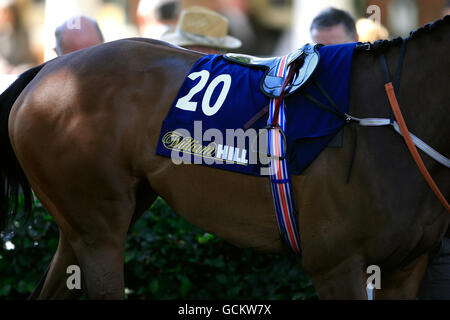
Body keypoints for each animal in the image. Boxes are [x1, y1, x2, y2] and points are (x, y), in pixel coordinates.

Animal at [0, 16, 448, 298]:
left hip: (86, 226)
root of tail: (47, 70)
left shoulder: (406, 266)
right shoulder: (337, 265)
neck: (383, 115)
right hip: (98, 229)